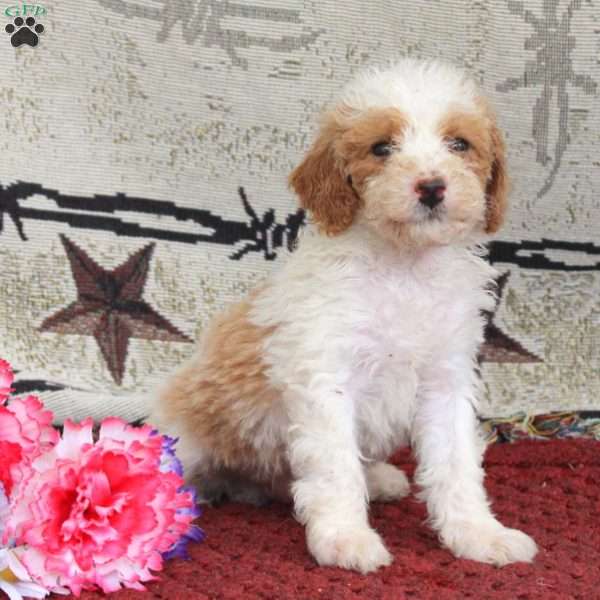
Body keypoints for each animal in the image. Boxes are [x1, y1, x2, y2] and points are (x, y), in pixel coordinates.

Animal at [151, 59, 540, 572]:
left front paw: (478, 534)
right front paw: (345, 538)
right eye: (381, 148)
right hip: (190, 435)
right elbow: (336, 467)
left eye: (459, 144)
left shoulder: (446, 381)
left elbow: (456, 465)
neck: (404, 265)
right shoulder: (326, 379)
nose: (432, 187)